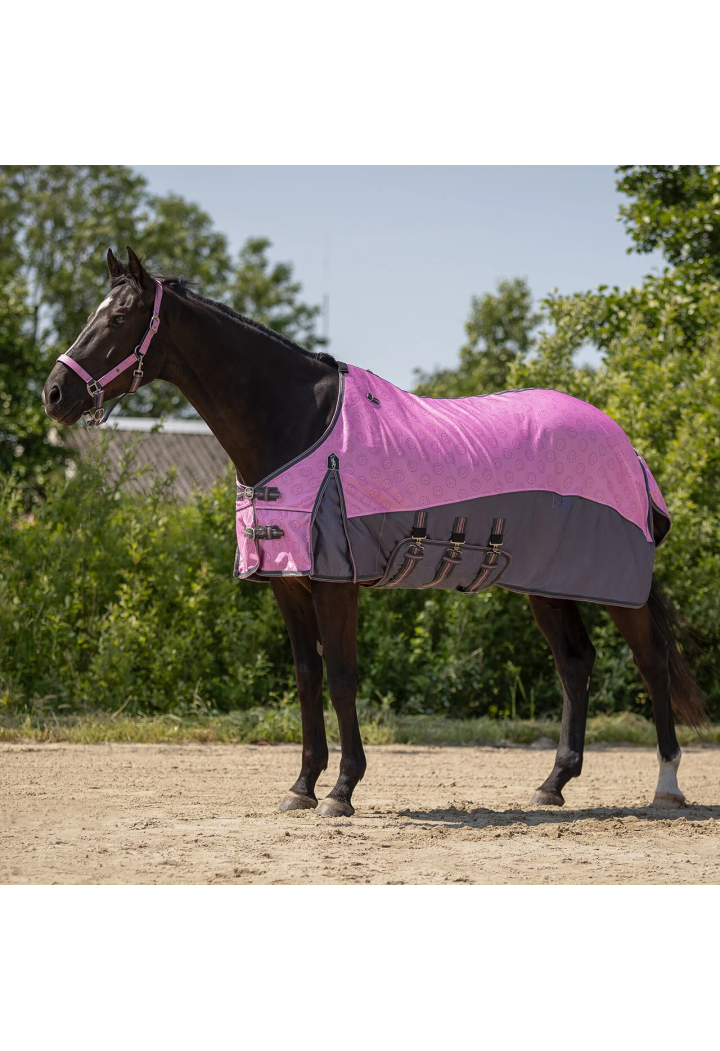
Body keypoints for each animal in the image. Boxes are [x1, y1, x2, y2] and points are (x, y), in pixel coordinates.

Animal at [42, 247, 708, 817]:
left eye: (120, 317)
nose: (54, 394)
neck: (299, 424)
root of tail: (626, 447)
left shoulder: (336, 580)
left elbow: (341, 676)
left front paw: (341, 790)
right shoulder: (289, 582)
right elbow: (307, 678)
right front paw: (301, 787)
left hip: (618, 586)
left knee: (650, 662)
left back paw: (667, 787)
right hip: (547, 583)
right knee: (575, 662)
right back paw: (553, 784)